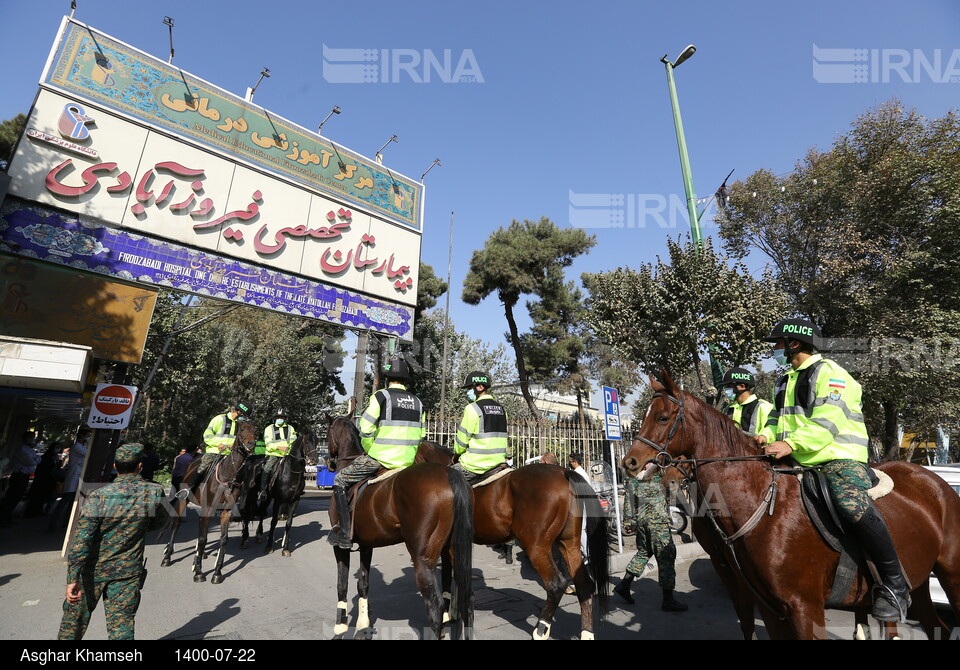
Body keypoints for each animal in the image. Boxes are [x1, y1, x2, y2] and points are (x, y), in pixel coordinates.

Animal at [161, 422, 258, 584]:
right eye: (242, 429)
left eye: (256, 430)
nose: (251, 443)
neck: (228, 476)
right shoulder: (207, 509)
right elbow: (203, 538)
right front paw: (199, 572)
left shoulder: (226, 512)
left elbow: (223, 539)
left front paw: (217, 573)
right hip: (184, 501)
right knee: (176, 525)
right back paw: (168, 556)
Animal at [324, 418, 474, 644]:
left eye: (327, 433)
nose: (329, 462)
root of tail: (449, 474)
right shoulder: (366, 545)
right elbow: (363, 585)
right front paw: (362, 627)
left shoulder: (340, 547)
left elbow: (342, 585)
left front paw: (340, 628)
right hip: (454, 551)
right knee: (467, 598)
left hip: (422, 558)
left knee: (435, 605)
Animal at [416, 440, 612, 640]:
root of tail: (564, 473)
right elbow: (458, 575)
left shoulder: (448, 542)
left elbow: (449, 574)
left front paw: (447, 612)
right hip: (568, 544)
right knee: (584, 585)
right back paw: (586, 633)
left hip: (536, 546)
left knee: (556, 585)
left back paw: (541, 630)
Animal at [624, 376, 960, 644]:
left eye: (663, 418)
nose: (630, 463)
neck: (764, 506)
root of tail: (936, 483)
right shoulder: (768, 604)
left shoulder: (804, 608)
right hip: (918, 584)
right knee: (937, 627)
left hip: (950, 577)